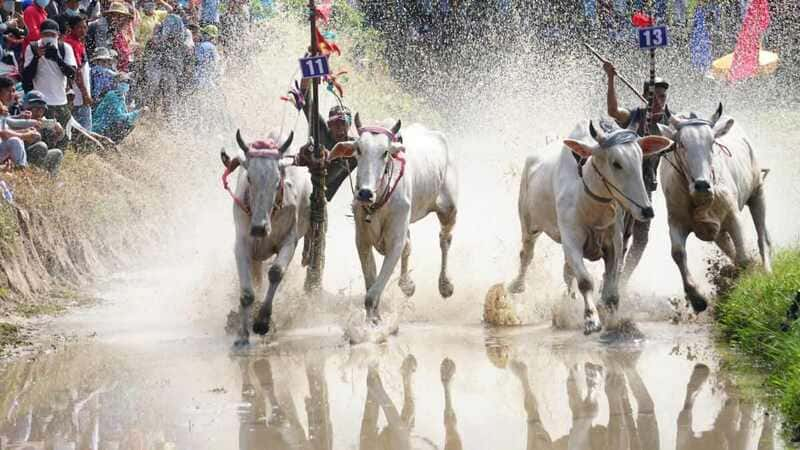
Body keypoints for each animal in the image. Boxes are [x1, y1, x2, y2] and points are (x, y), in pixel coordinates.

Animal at [225, 128, 312, 346]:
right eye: (249, 178)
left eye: (276, 181)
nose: (259, 228)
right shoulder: (241, 244)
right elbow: (247, 293)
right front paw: (242, 336)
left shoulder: (290, 240)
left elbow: (275, 272)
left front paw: (262, 322)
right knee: (256, 280)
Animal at [330, 114, 456, 326]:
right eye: (358, 149)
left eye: (385, 152)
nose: (365, 193)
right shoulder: (362, 242)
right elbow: (371, 284)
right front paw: (373, 319)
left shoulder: (394, 243)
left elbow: (372, 294)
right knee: (409, 245)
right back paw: (407, 285)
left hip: (449, 210)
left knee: (444, 239)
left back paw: (445, 285)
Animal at [510, 120, 672, 334]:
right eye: (616, 163)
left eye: (640, 160)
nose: (647, 210)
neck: (590, 199)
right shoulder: (571, 241)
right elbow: (585, 281)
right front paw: (591, 319)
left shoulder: (615, 244)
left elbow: (611, 289)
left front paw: (612, 317)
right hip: (529, 225)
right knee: (526, 255)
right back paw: (517, 286)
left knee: (567, 273)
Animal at [660, 104, 772, 312]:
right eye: (681, 144)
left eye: (712, 142)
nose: (702, 185)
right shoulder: (676, 221)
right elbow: (678, 253)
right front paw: (697, 299)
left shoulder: (733, 217)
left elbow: (743, 256)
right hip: (718, 231)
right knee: (729, 247)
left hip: (757, 193)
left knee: (762, 238)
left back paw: (767, 270)